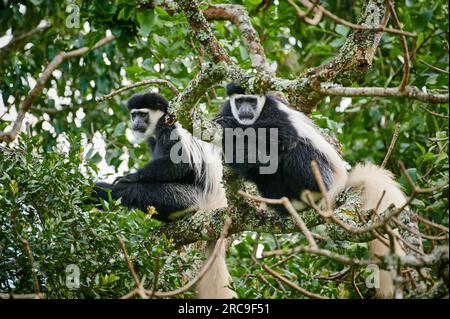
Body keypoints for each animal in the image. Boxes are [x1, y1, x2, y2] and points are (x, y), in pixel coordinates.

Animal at [89, 92, 236, 300]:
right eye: (134, 114)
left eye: (143, 114)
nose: (136, 123)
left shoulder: (169, 127)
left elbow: (179, 163)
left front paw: (130, 177)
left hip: (188, 197)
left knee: (135, 191)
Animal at [216, 84, 410, 298]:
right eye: (239, 101)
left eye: (251, 101)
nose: (245, 111)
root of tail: (341, 183)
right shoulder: (228, 107)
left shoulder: (274, 111)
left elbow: (281, 134)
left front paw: (231, 126)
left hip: (319, 171)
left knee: (293, 148)